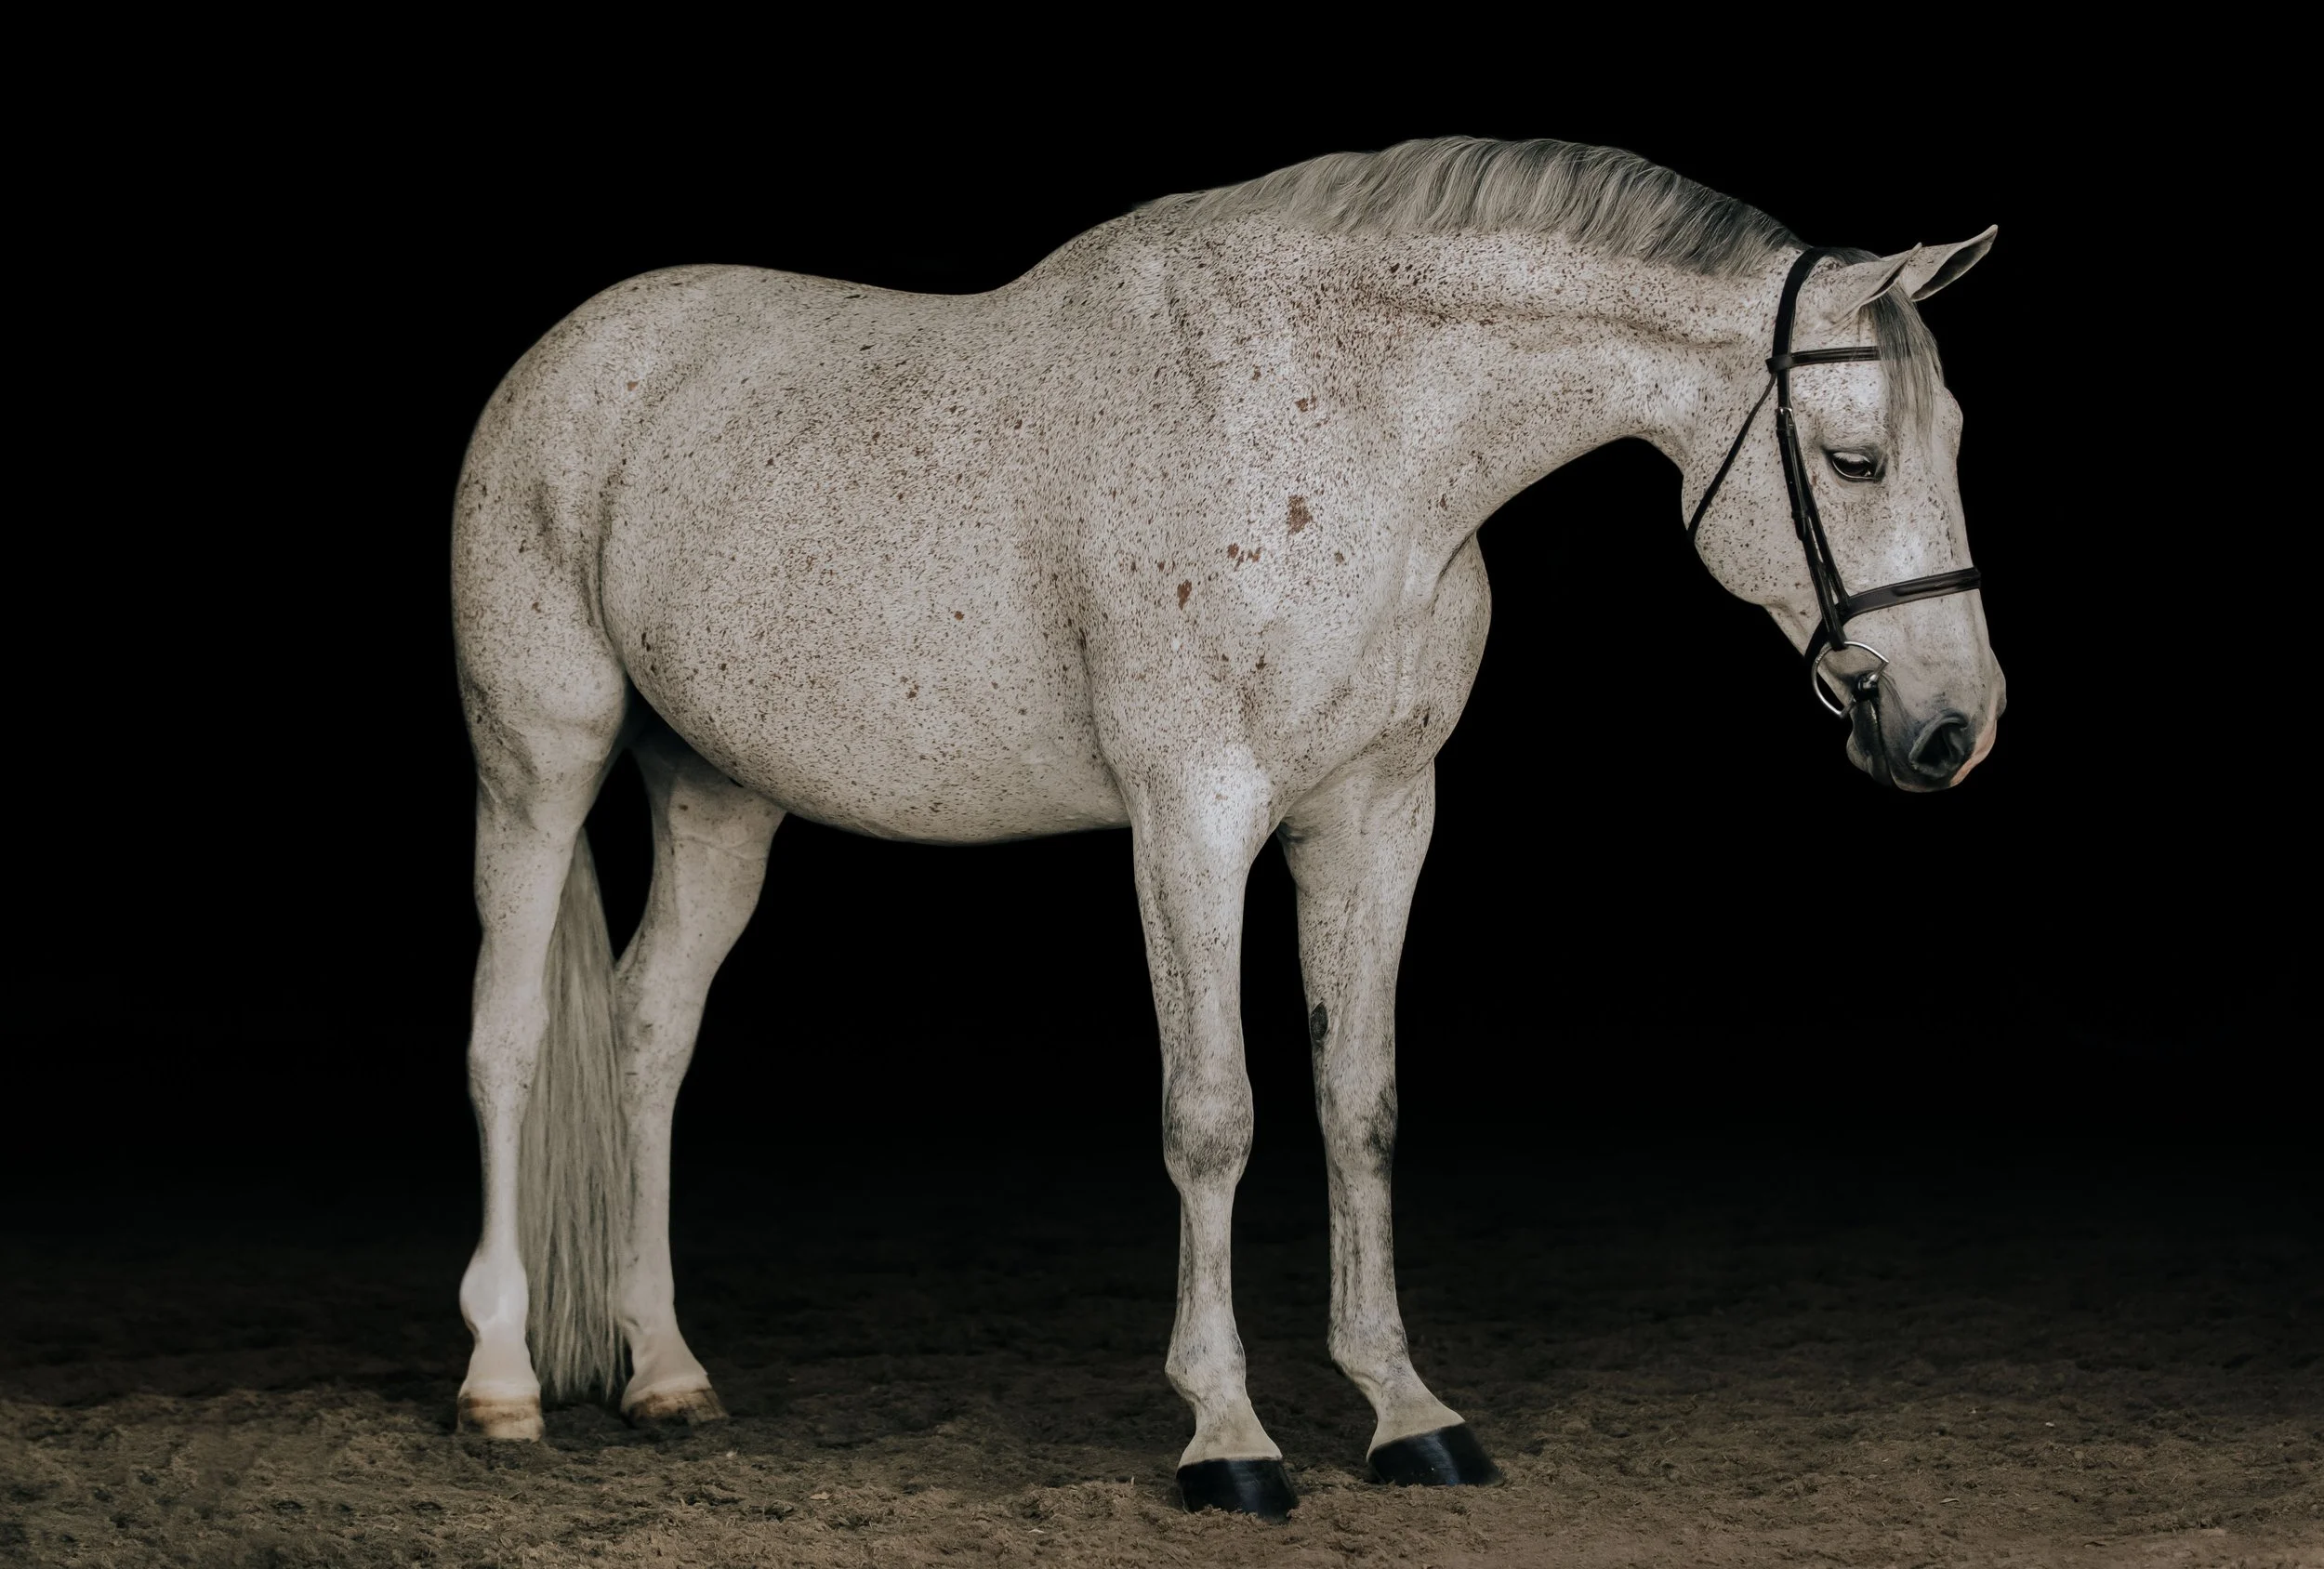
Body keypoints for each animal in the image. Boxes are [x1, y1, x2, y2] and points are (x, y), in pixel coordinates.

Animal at [447, 136, 2001, 1519]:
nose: (1954, 728)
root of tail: (571, 355)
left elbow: (1359, 1104)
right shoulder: (1192, 818)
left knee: (649, 1035)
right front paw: (1229, 1439)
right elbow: (1214, 1116)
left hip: (717, 793)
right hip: (538, 759)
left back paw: (665, 1373)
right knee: (511, 1038)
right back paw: (502, 1383)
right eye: (1855, 462)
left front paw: (1408, 1414)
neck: (1341, 431)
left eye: (1950, 441)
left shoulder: (1377, 818)